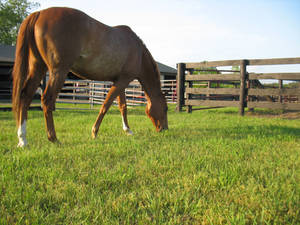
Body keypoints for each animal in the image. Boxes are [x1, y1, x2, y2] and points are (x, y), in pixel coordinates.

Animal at [12, 7, 168, 147]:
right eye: (165, 108)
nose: (164, 129)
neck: (138, 52)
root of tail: (39, 13)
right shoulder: (123, 81)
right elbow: (106, 105)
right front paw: (94, 132)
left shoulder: (119, 81)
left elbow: (122, 106)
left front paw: (127, 130)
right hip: (58, 72)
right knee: (46, 100)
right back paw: (53, 138)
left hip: (38, 68)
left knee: (25, 96)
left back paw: (22, 139)